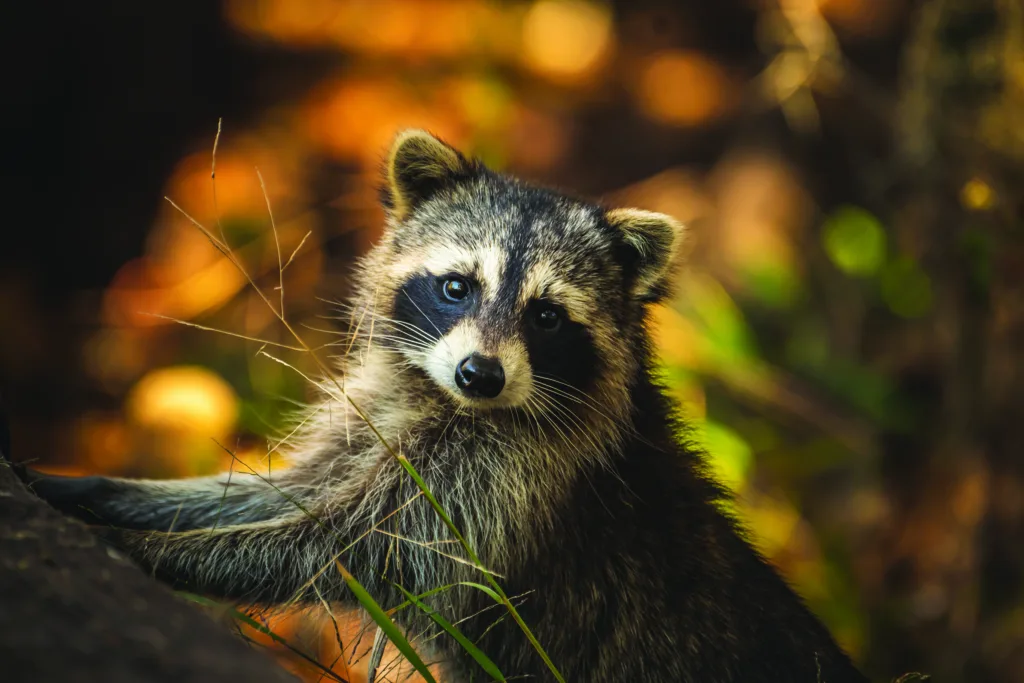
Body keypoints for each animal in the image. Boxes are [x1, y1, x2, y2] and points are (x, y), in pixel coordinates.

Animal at [16, 130, 868, 682]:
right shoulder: (378, 422)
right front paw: (107, 493)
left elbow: (339, 548)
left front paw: (153, 549)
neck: (447, 401)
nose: (480, 374)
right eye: (457, 284)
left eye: (546, 316)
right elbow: (281, 495)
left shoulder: (510, 480)